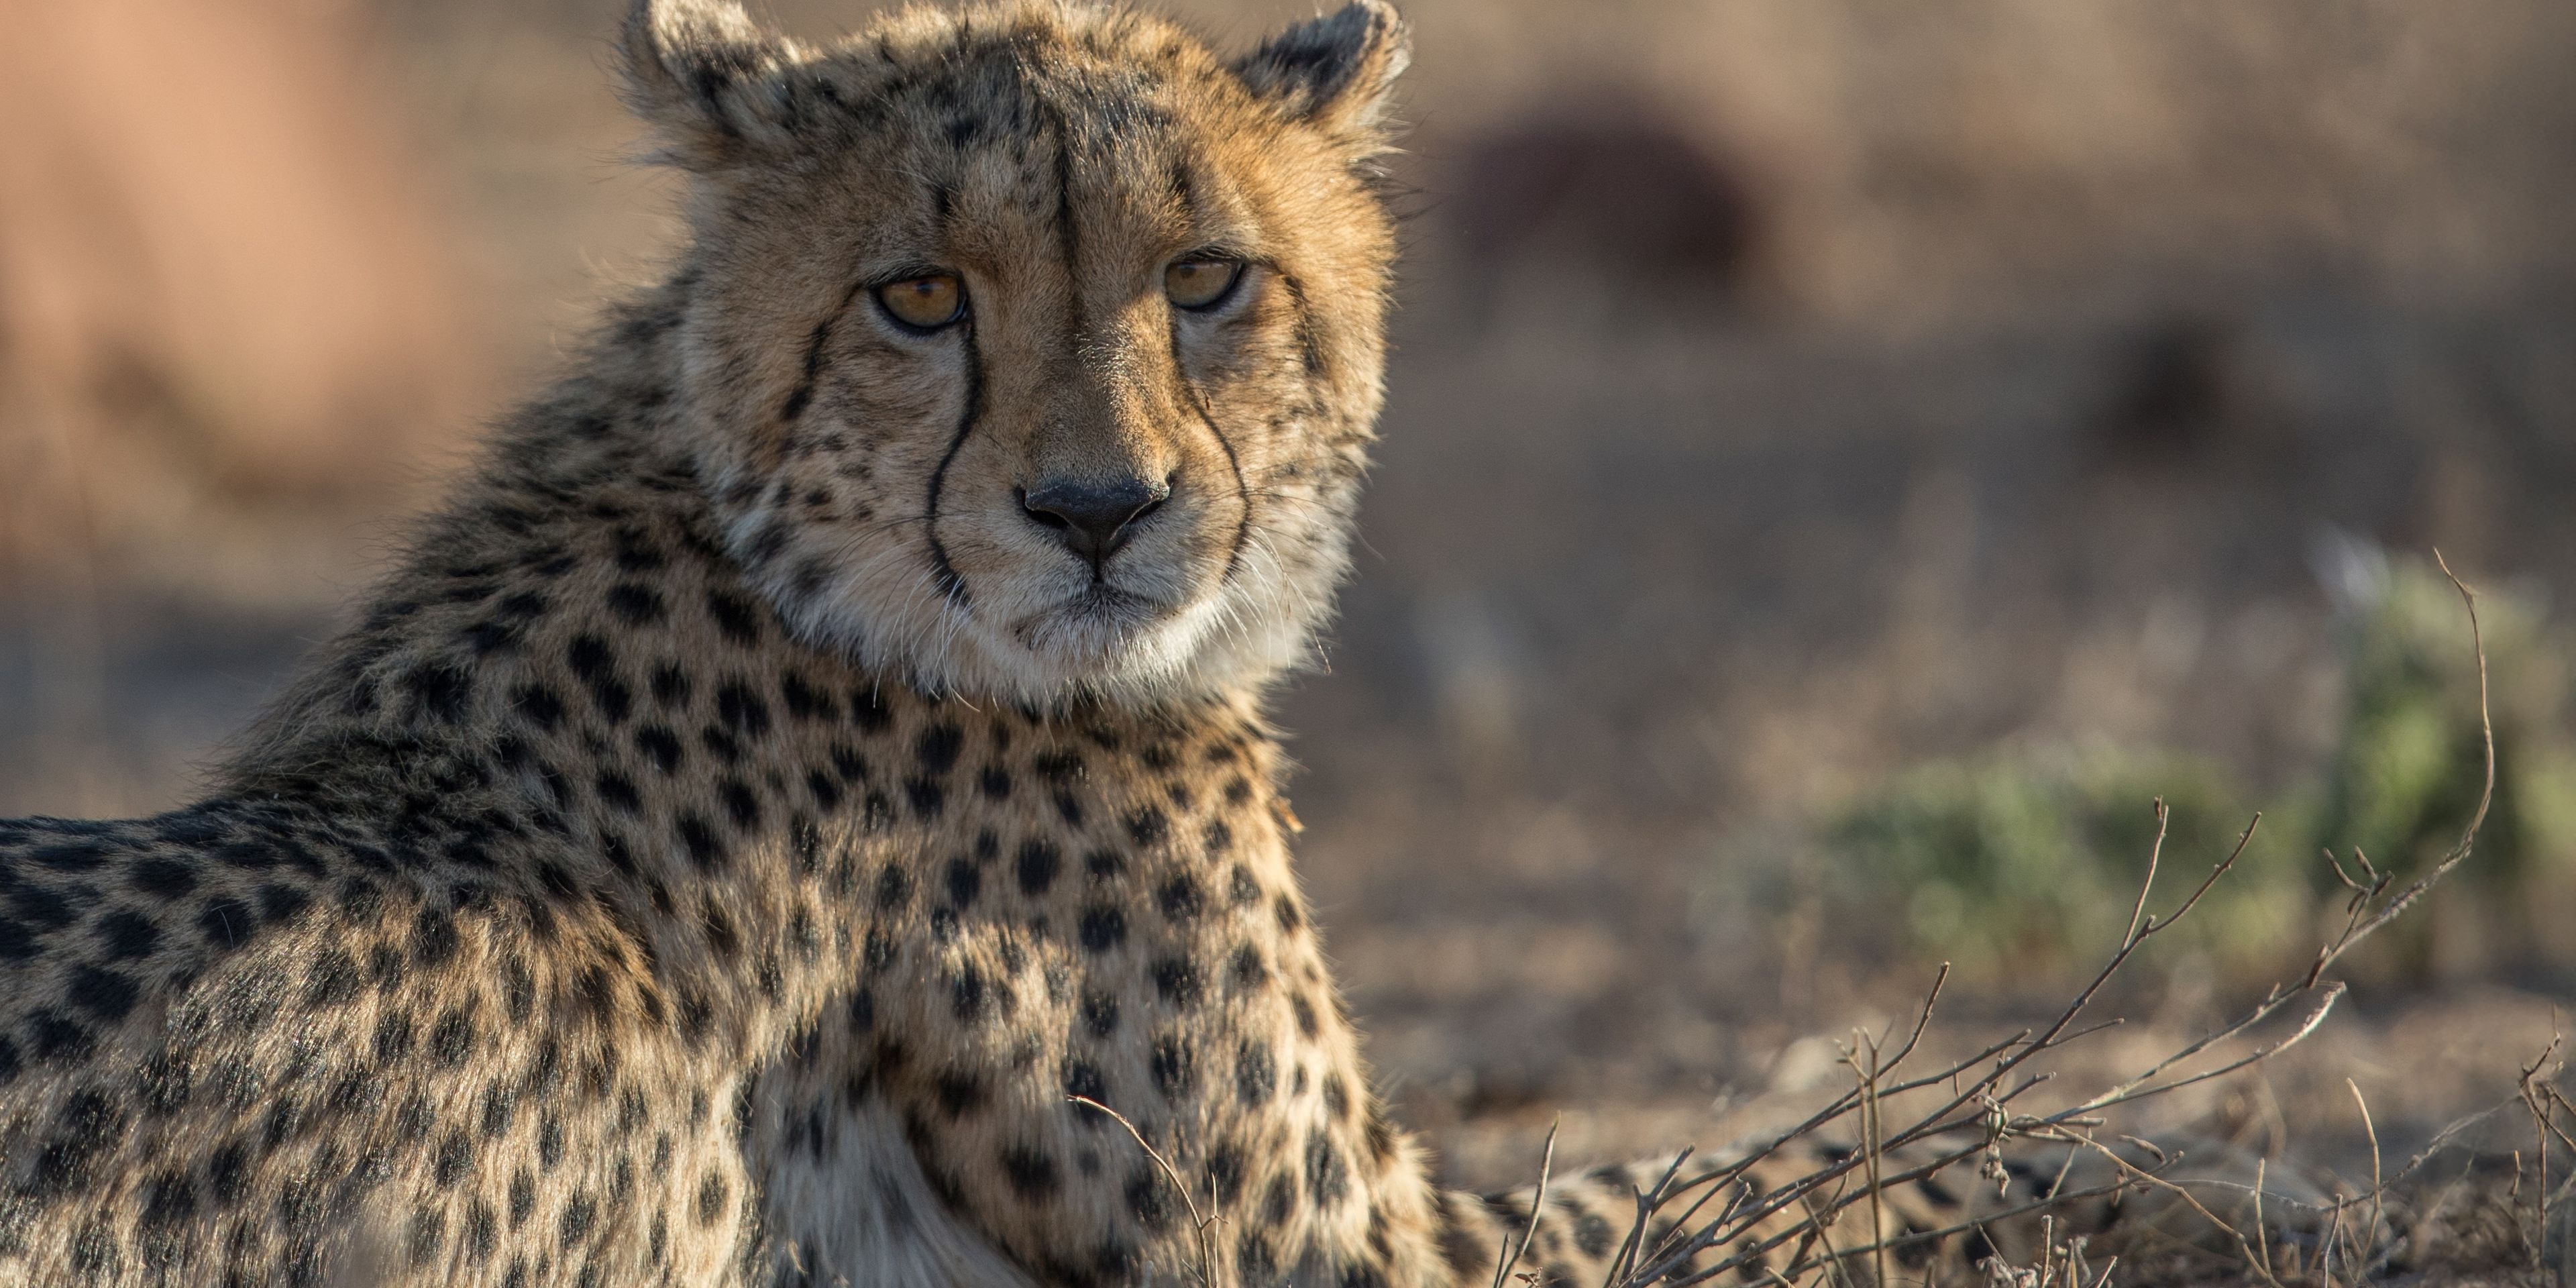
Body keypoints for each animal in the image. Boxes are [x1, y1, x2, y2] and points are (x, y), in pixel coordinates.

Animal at [0, 2, 2308, 1285]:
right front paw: (2197, 1183)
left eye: (1207, 279)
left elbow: (1776, 1162)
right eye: (918, 296)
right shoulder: (1361, 1255)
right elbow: (1798, 1172)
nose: (1100, 514)